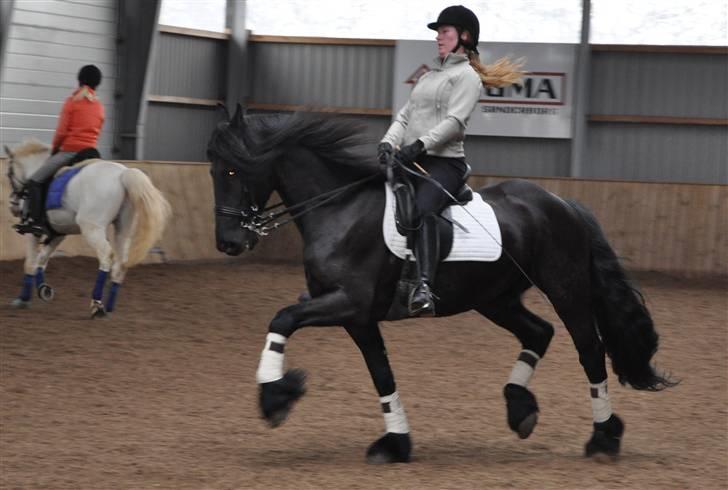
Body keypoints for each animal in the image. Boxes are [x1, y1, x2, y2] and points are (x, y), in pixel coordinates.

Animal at [208, 105, 672, 466]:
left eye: (233, 168)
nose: (229, 243)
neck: (339, 209)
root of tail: (563, 203)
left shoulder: (348, 303)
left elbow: (282, 318)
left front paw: (275, 398)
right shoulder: (358, 318)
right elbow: (381, 374)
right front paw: (395, 444)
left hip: (565, 289)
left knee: (589, 349)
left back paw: (604, 437)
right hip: (494, 298)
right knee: (539, 332)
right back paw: (520, 410)